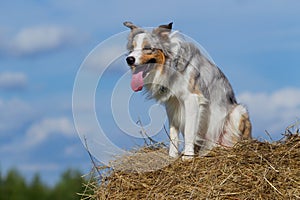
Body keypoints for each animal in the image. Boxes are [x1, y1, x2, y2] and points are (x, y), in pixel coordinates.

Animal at [123, 21, 252, 159]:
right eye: (131, 49)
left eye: (147, 48)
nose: (129, 59)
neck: (170, 65)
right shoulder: (172, 103)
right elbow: (173, 132)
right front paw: (172, 156)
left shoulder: (192, 98)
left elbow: (189, 130)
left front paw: (188, 156)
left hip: (238, 111)